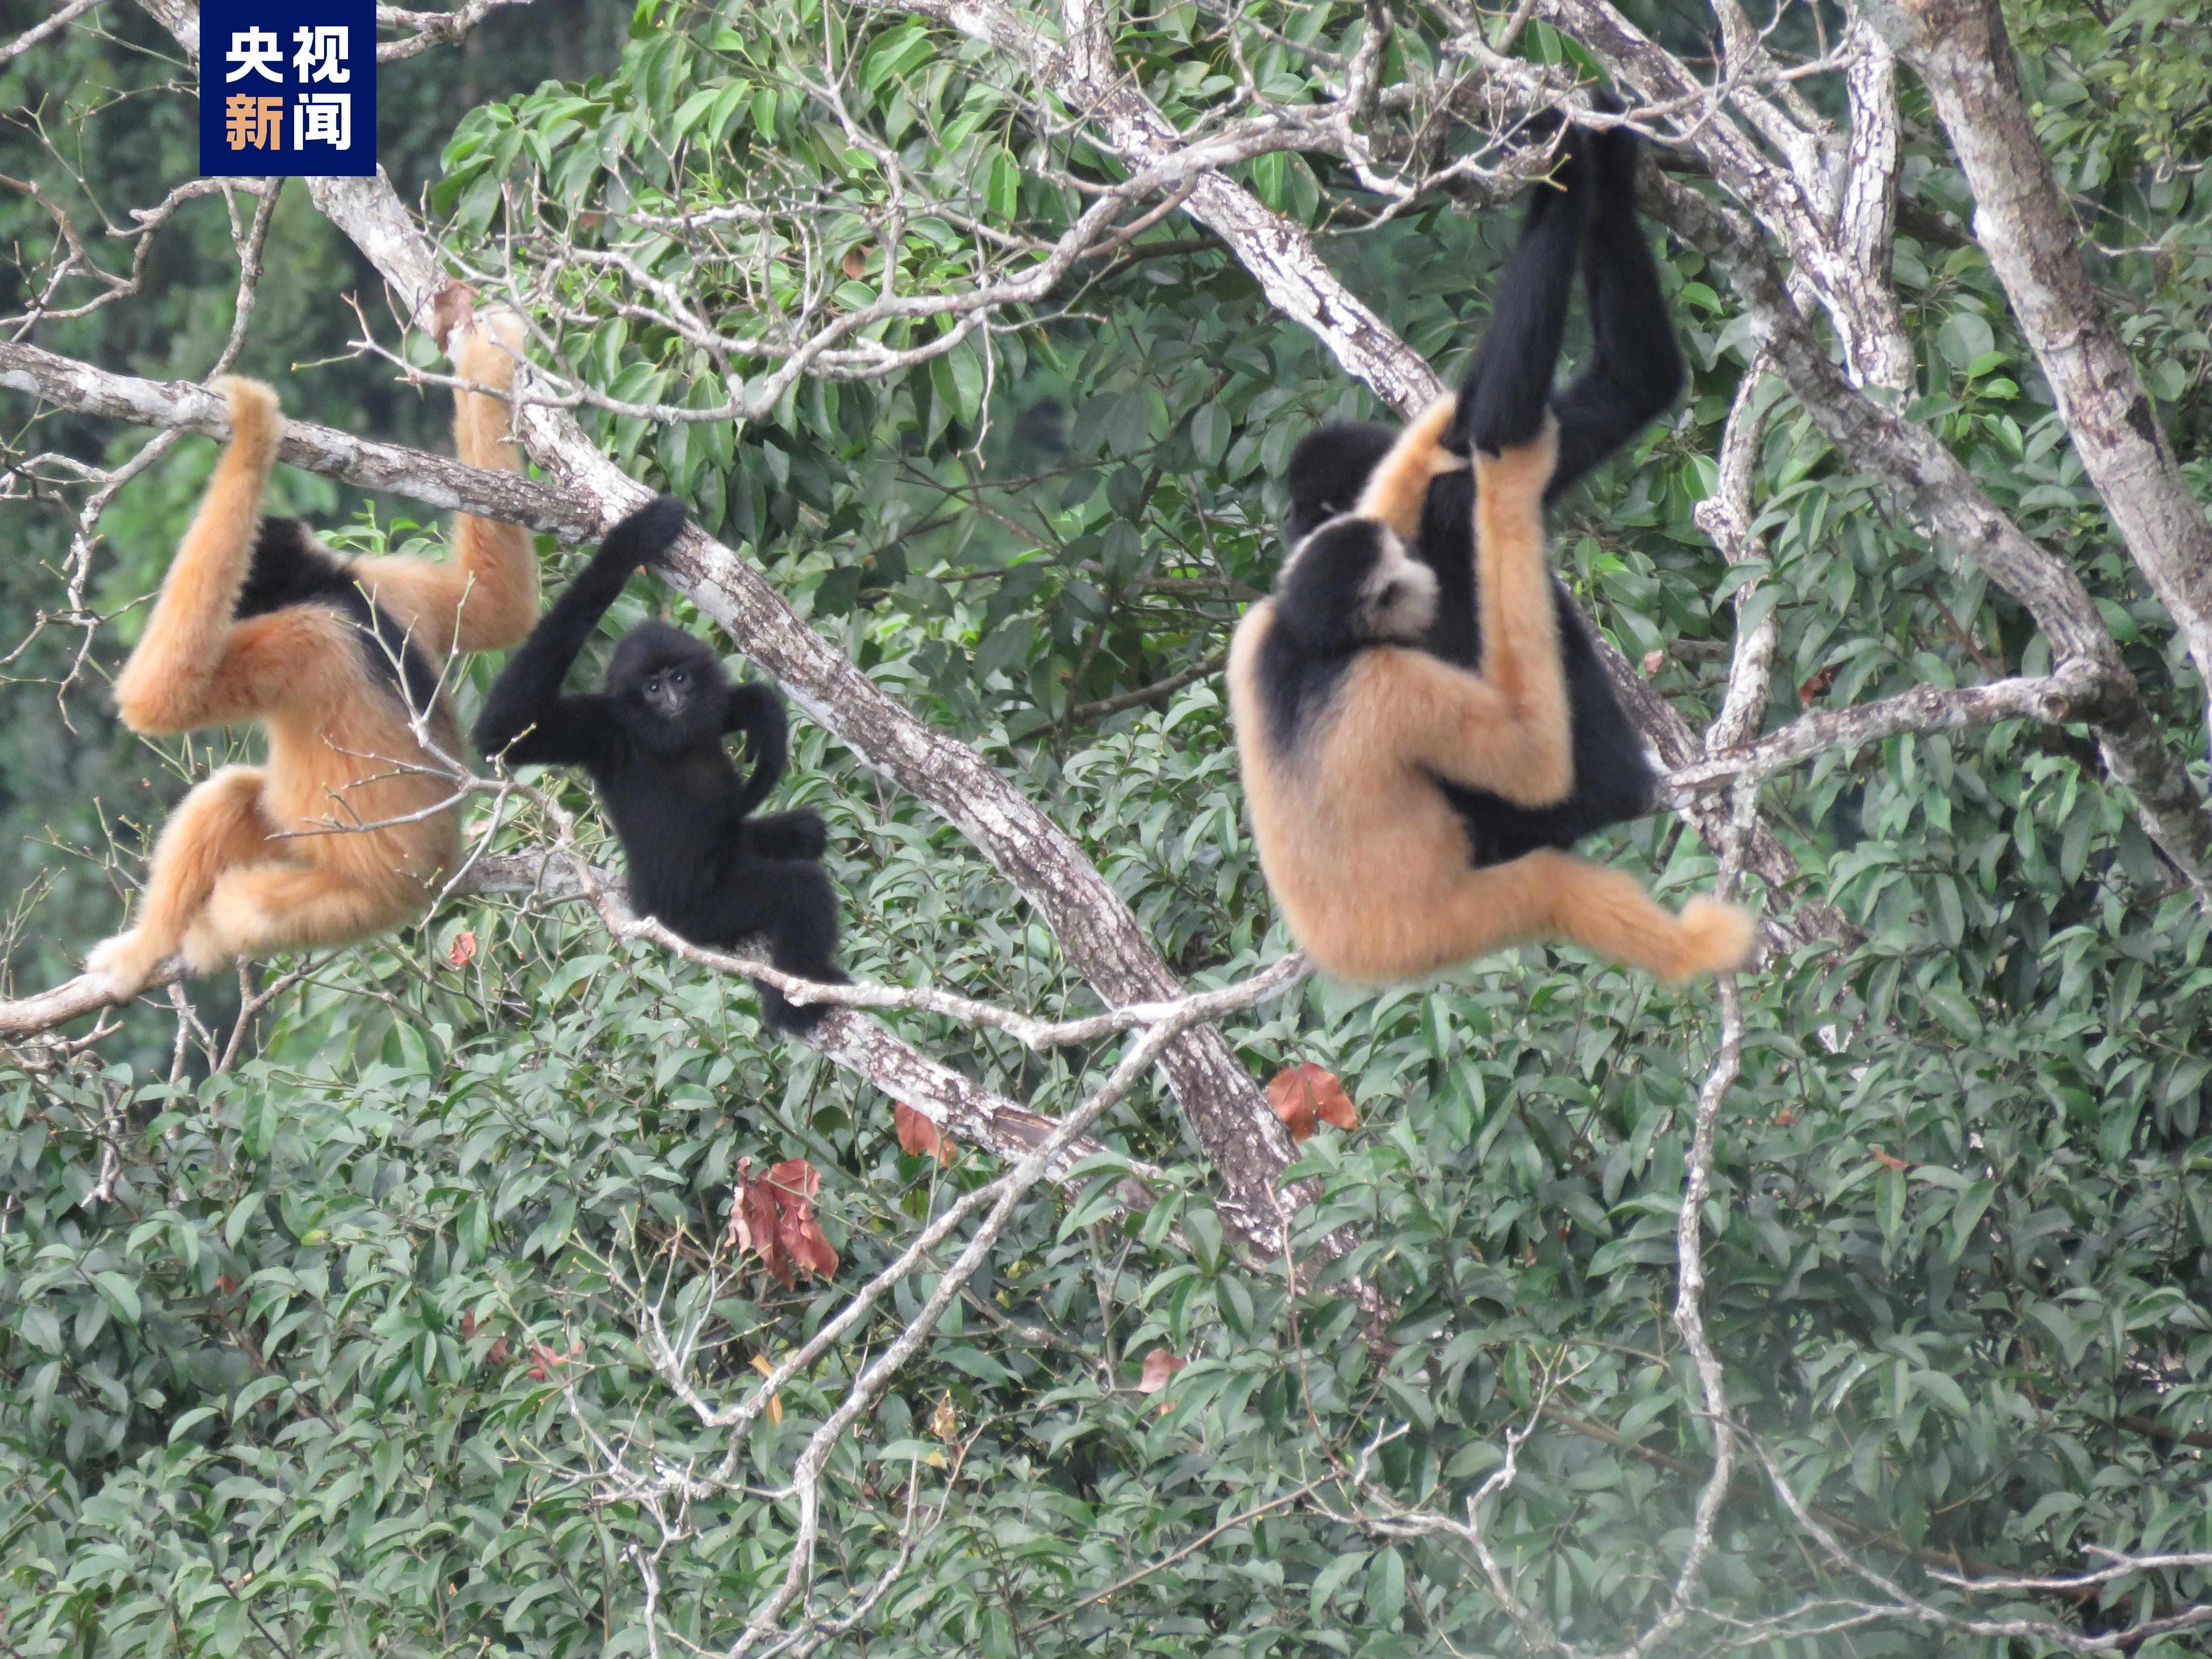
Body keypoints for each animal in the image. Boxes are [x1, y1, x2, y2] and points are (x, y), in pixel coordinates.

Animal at [85, 309, 539, 998]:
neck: (334, 589)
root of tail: (436, 873)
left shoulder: (301, 638)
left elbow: (161, 696)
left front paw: (252, 429)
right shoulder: (392, 585)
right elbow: (496, 604)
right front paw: (489, 359)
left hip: (352, 900)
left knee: (248, 904)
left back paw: (162, 946)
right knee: (235, 799)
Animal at [471, 499, 845, 1035]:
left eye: (679, 678)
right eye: (651, 687)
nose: (671, 699)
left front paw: (759, 710)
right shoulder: (607, 732)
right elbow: (504, 732)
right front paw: (628, 543)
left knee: (799, 833)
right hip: (696, 914)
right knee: (799, 887)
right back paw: (794, 1001)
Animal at [1282, 105, 1681, 867]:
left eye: (1308, 509)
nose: (1286, 533)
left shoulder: (1451, 498)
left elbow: (1502, 421)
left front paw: (1568, 154)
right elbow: (1633, 380)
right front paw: (1602, 160)